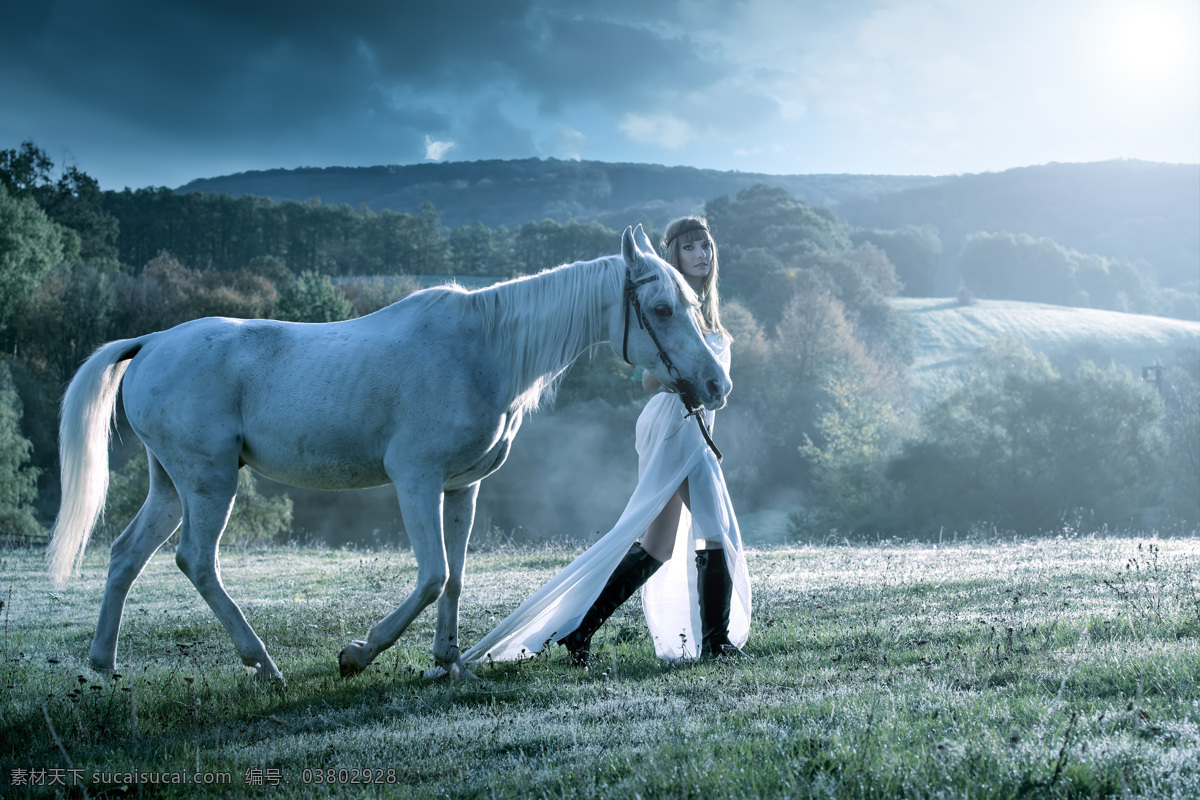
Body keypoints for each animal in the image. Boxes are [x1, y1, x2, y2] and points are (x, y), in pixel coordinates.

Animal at [46, 224, 724, 681]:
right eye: (662, 308)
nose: (717, 384)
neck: (482, 348)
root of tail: (153, 342)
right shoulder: (415, 481)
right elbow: (433, 575)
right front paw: (359, 653)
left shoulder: (461, 486)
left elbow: (456, 577)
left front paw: (447, 663)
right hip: (208, 481)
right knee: (196, 561)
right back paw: (261, 662)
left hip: (171, 483)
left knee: (126, 554)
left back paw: (101, 665)